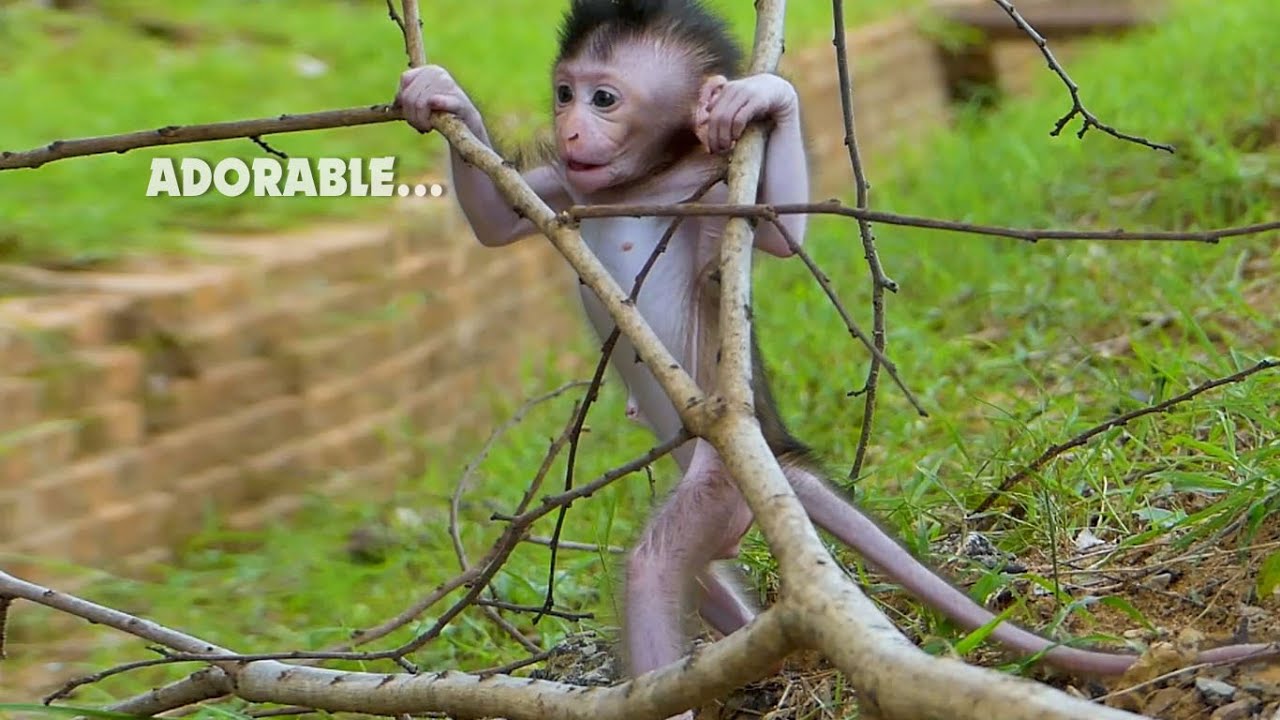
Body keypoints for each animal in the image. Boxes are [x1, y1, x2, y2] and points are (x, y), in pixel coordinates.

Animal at [396, 0, 1276, 699]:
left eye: (605, 97)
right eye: (564, 91)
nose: (572, 124)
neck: (640, 180)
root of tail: (776, 452)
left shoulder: (706, 192)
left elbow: (777, 236)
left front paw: (766, 98)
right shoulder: (568, 185)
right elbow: (497, 225)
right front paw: (439, 94)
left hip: (719, 483)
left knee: (655, 563)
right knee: (699, 574)